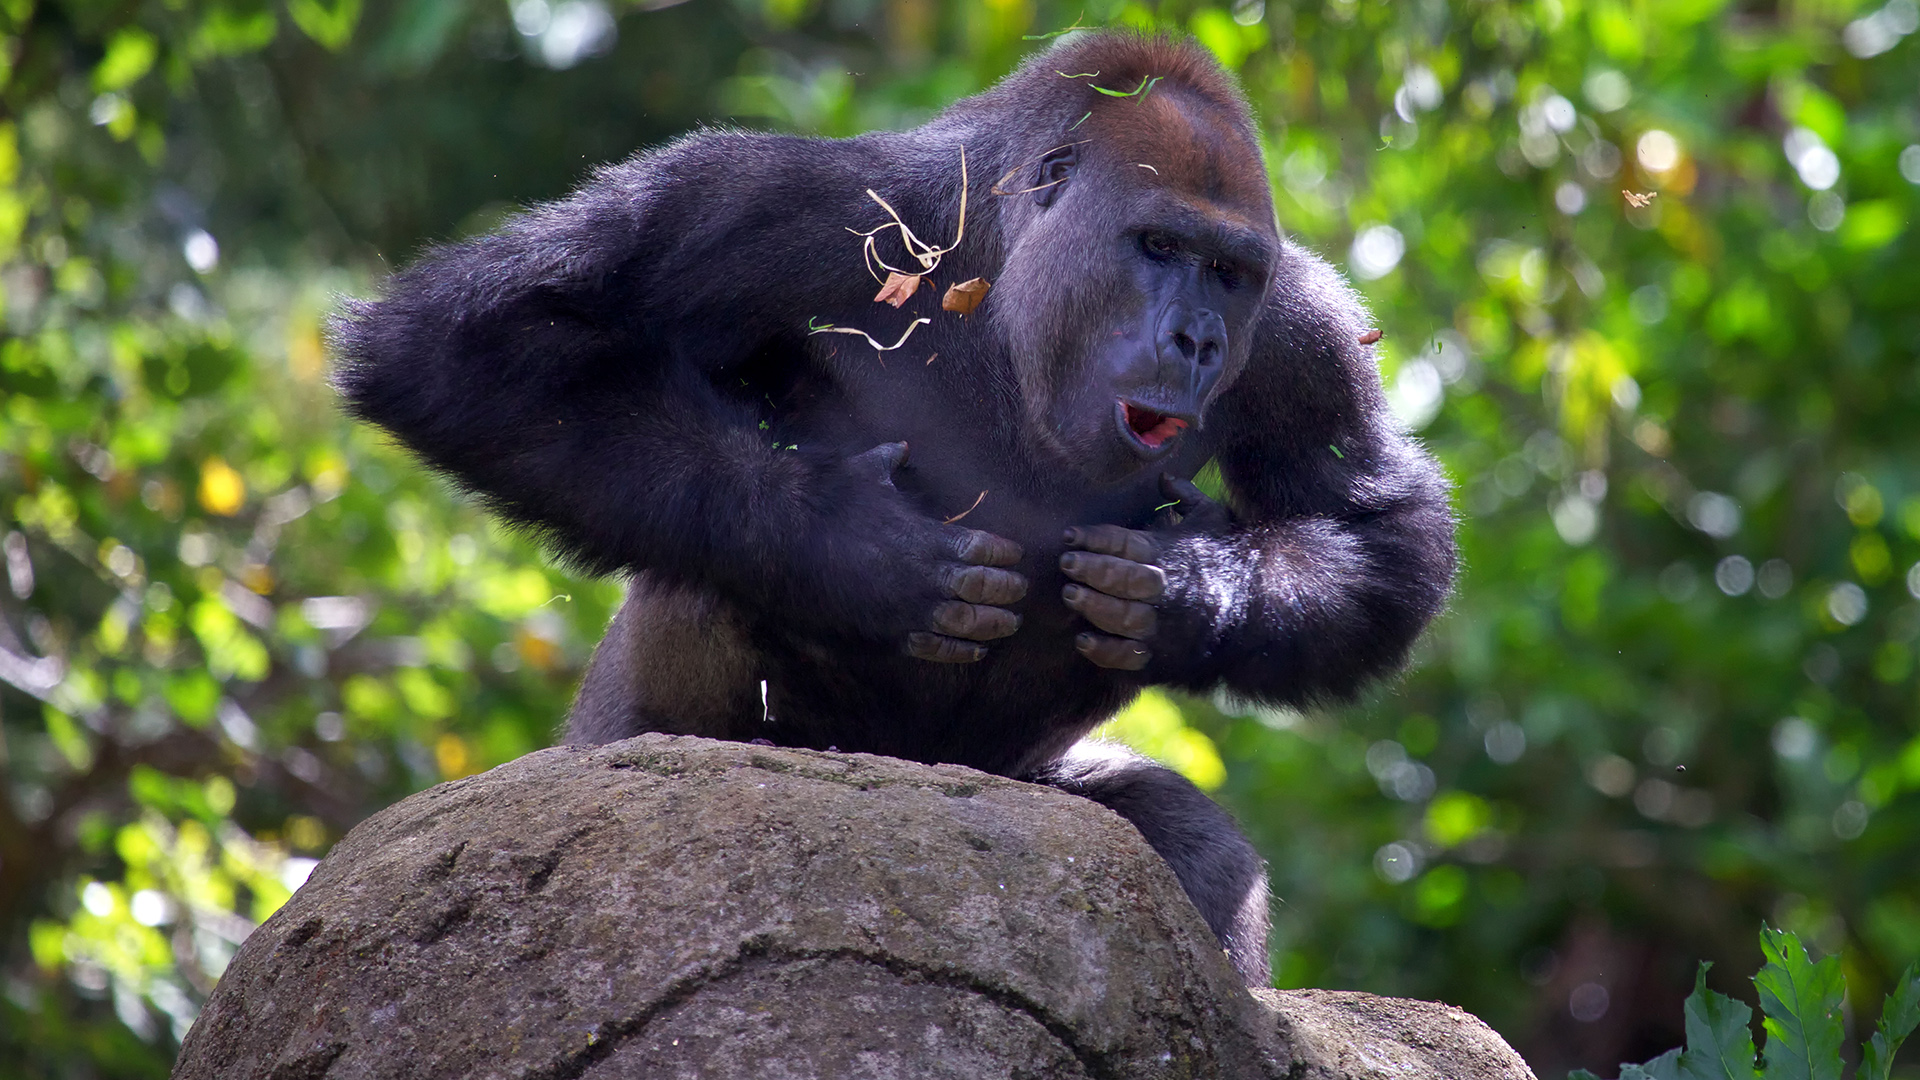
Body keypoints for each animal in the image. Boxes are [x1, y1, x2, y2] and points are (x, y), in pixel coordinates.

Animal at [330, 31, 1443, 983]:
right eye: (1157, 246)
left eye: (1227, 272)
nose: (1200, 342)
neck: (1005, 272)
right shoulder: (771, 201)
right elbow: (473, 343)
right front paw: (860, 551)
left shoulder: (1301, 322)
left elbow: (1380, 530)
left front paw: (1185, 592)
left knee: (1182, 846)